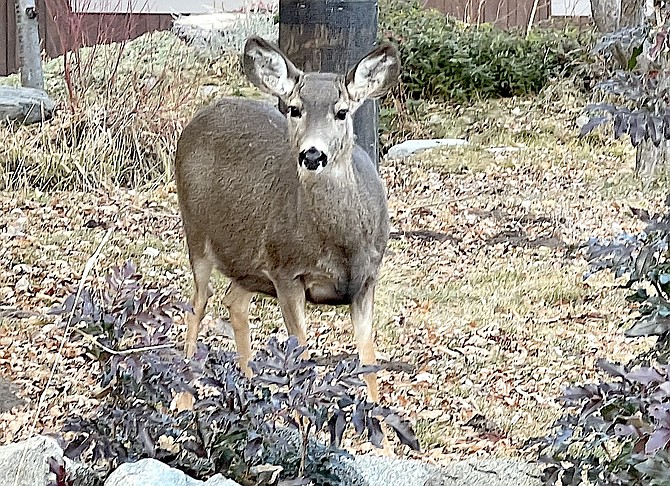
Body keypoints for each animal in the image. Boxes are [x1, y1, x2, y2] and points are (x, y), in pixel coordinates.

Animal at [176, 36, 402, 402]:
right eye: (295, 109)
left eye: (342, 112)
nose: (312, 154)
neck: (342, 246)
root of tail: (201, 115)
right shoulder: (286, 272)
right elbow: (301, 357)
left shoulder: (367, 280)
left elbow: (368, 360)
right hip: (196, 231)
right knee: (199, 301)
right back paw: (183, 400)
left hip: (248, 261)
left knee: (233, 300)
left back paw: (249, 386)